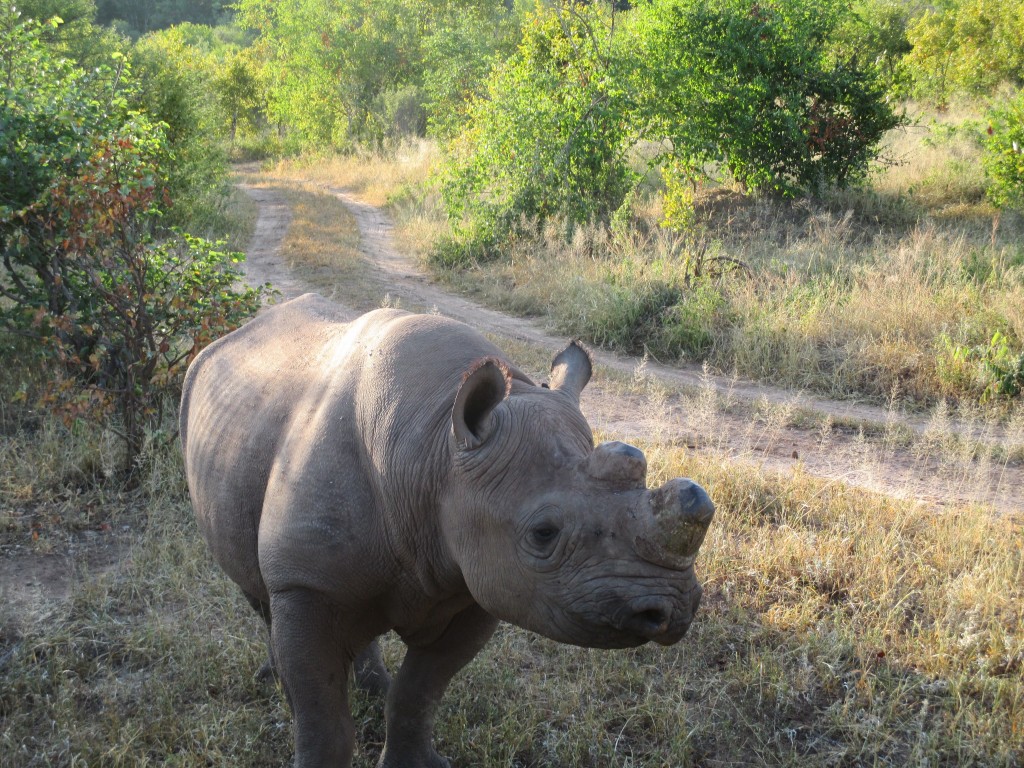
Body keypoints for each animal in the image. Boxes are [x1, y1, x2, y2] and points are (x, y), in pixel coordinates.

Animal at [180, 294, 715, 768]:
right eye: (543, 534)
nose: (671, 608)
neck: (435, 447)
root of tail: (231, 336)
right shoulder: (304, 582)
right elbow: (323, 722)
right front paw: (309, 716)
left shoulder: (480, 583)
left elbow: (419, 694)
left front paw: (413, 758)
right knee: (257, 591)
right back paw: (275, 679)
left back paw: (370, 686)